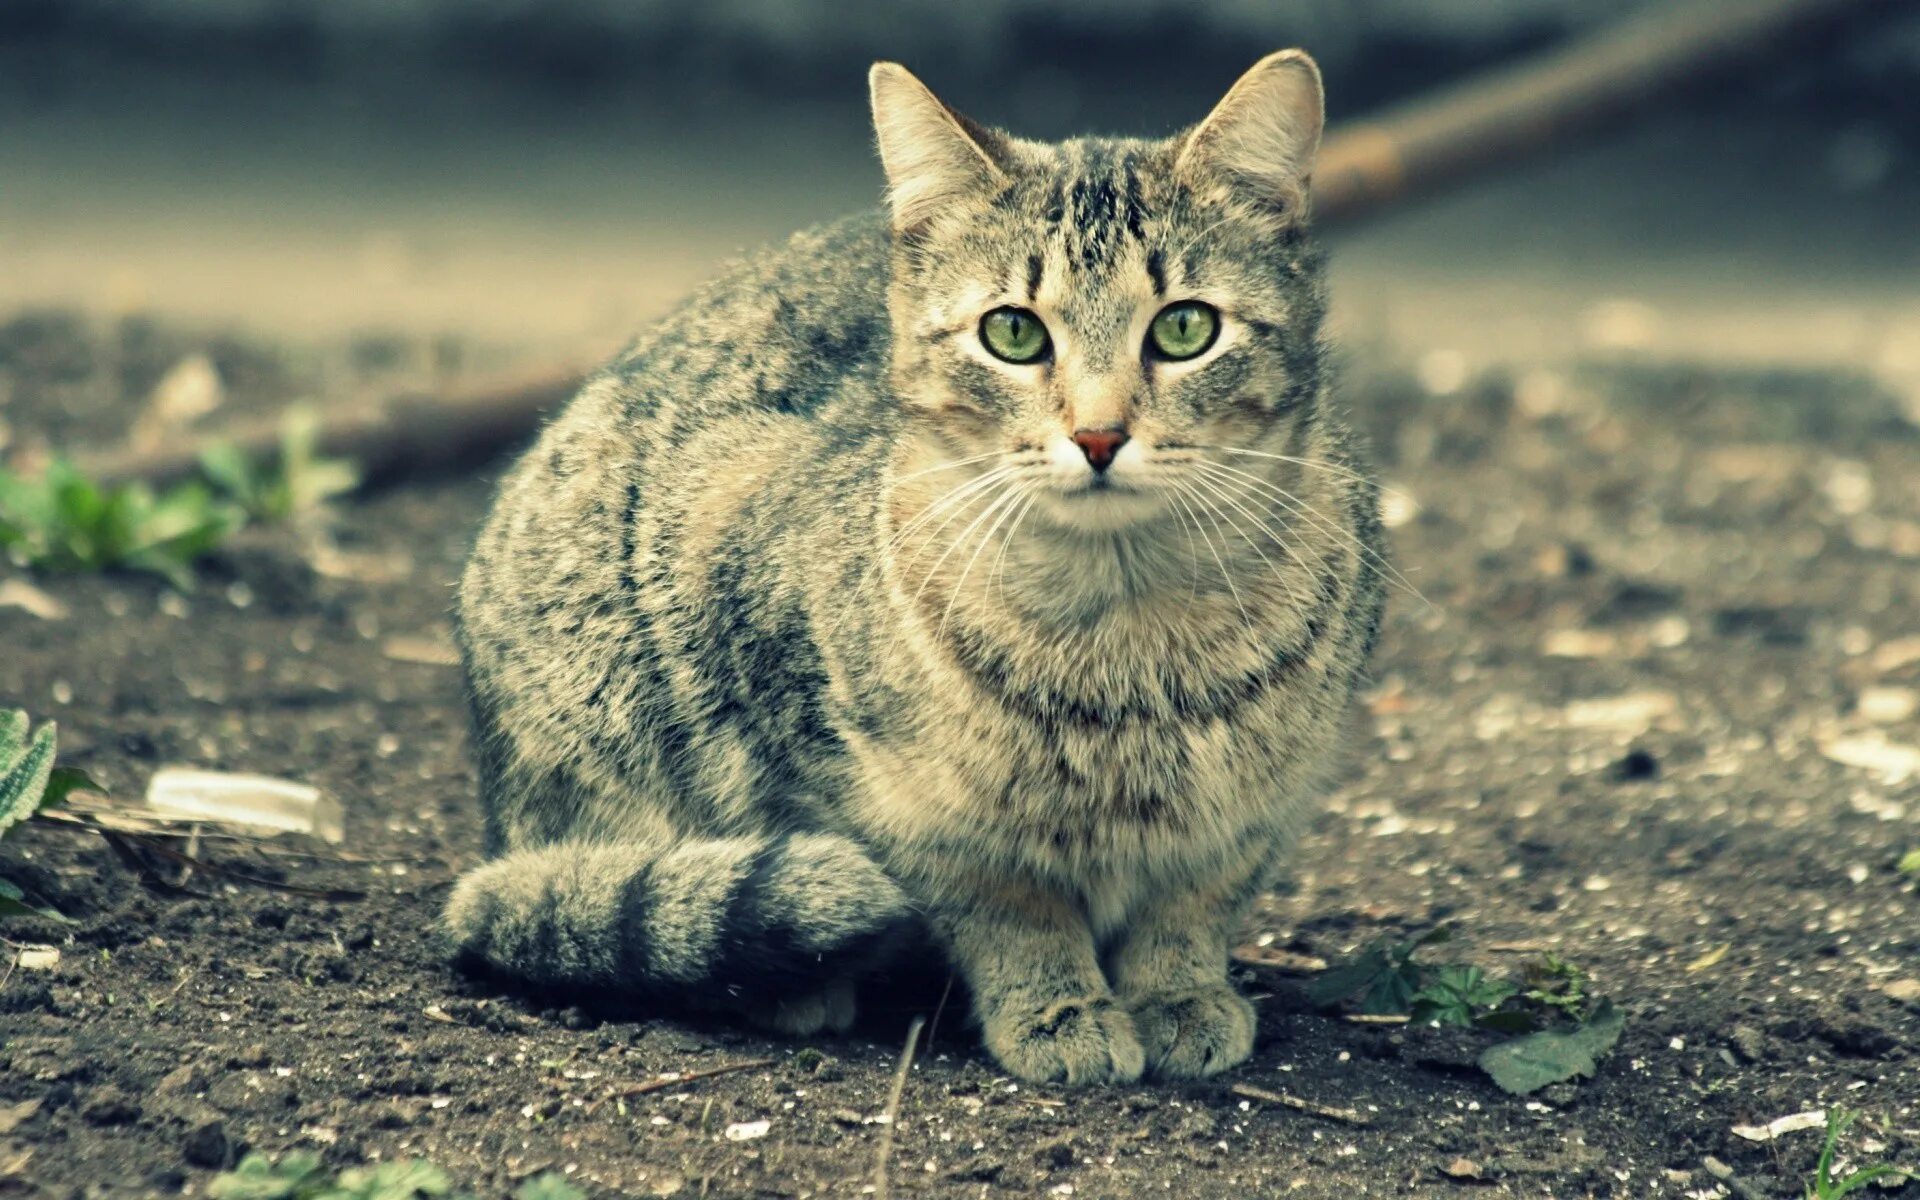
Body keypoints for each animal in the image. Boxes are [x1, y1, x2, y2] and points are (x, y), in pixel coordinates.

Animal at [445, 46, 1382, 1082]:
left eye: (1184, 329)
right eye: (1013, 332)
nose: (1099, 435)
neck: (1124, 632)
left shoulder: (1260, 810)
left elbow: (1192, 905)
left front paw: (1177, 993)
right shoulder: (886, 795)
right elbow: (1006, 907)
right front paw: (1054, 1005)